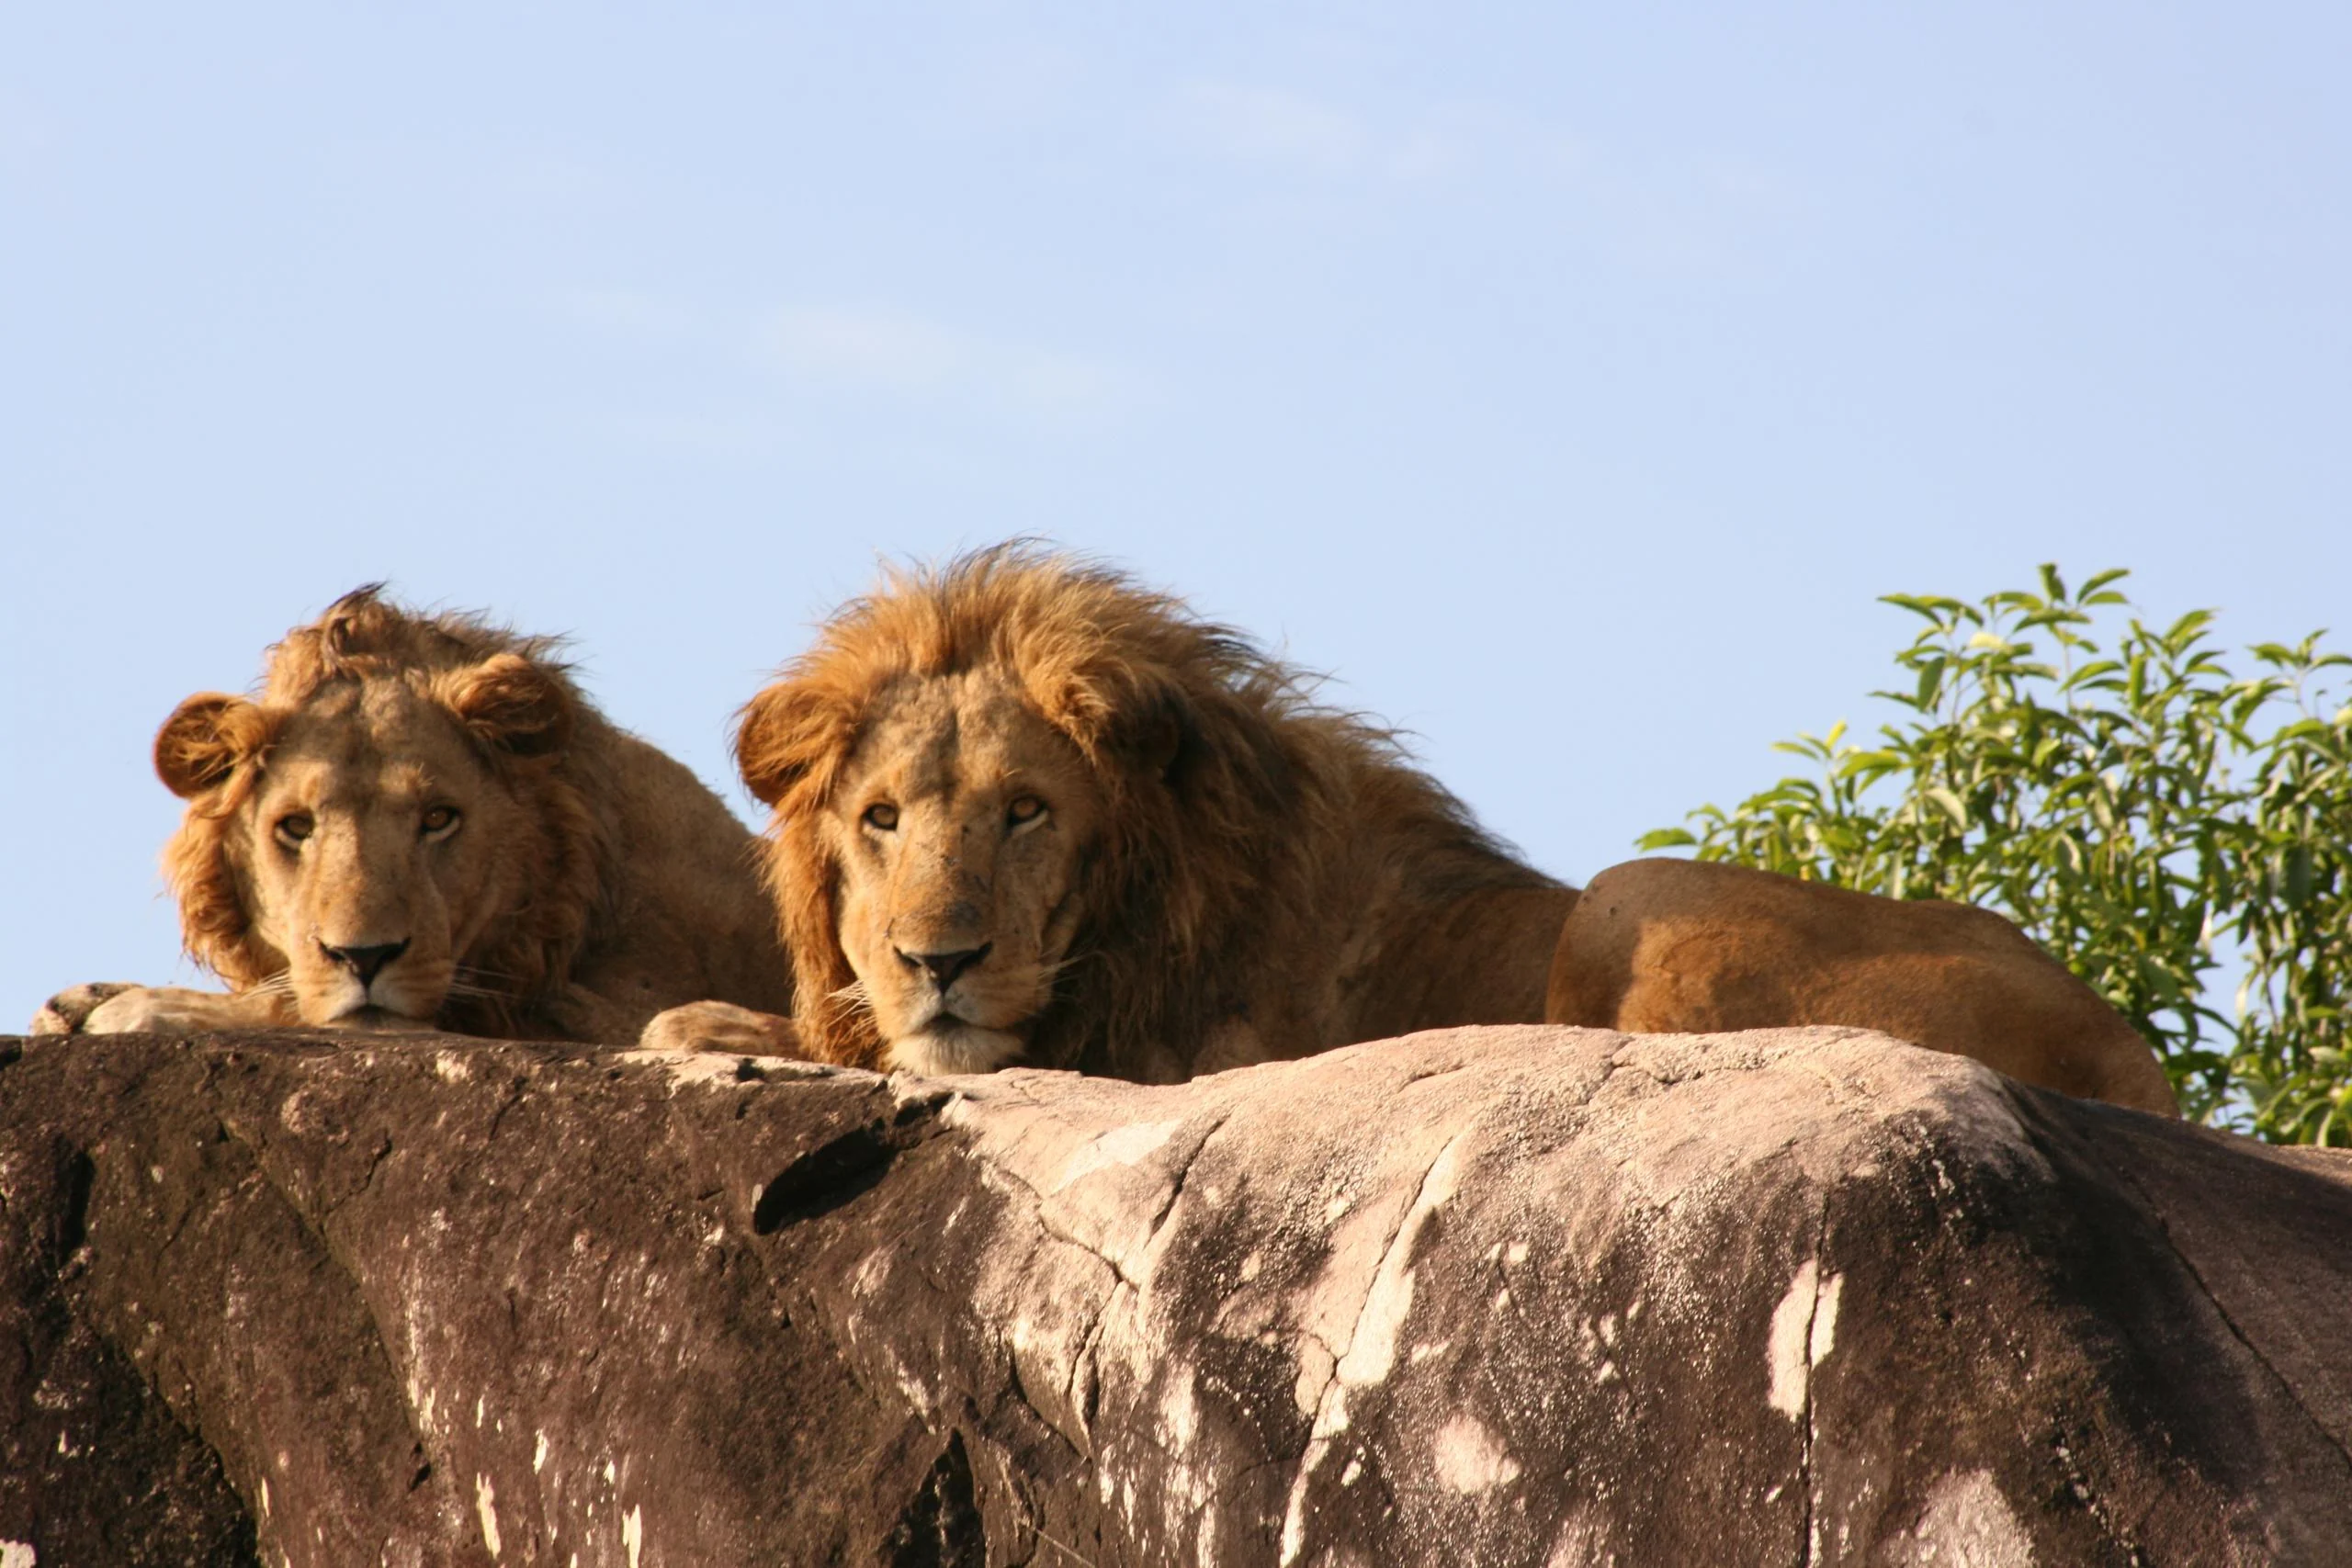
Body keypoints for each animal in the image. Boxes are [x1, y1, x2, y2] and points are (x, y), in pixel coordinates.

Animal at [33, 586, 792, 1044]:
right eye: (295, 826)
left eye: (438, 818)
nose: (364, 957)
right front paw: (84, 997)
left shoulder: (595, 1006)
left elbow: (298, 1001)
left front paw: (143, 1006)